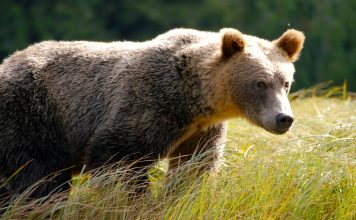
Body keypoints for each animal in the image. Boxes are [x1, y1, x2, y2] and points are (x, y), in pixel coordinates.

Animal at [0, 27, 304, 199]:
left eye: (286, 82)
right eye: (260, 83)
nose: (284, 119)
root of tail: (6, 62)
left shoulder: (201, 130)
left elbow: (195, 168)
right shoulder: (149, 105)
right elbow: (120, 161)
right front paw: (135, 201)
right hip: (33, 113)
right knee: (40, 175)